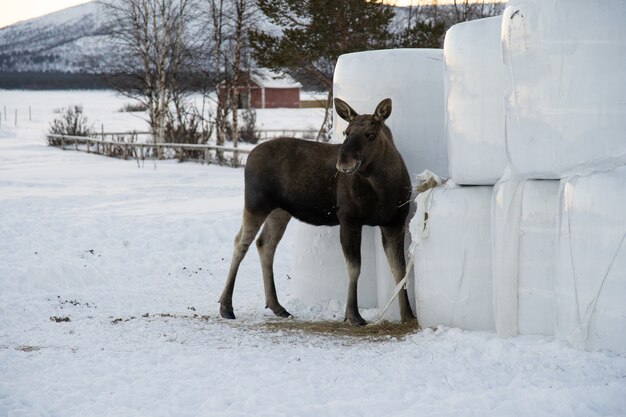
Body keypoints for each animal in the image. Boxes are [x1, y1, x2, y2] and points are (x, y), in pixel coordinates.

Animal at [218, 97, 414, 324]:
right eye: (346, 132)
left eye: (371, 134)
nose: (344, 162)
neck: (383, 187)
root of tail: (249, 155)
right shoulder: (349, 218)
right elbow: (354, 268)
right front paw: (353, 315)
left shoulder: (395, 222)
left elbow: (400, 269)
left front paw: (408, 315)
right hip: (256, 203)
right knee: (241, 242)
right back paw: (226, 306)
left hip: (280, 210)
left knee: (265, 244)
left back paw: (277, 306)